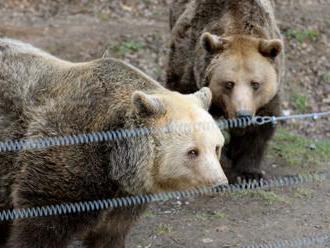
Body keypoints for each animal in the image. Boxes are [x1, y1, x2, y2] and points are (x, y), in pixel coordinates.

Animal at [0, 38, 228, 248]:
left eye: (216, 147)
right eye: (193, 151)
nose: (220, 183)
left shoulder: (126, 195)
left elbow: (110, 231)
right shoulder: (65, 159)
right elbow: (43, 223)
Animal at [166, 0, 284, 182]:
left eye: (255, 84)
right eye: (229, 83)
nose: (243, 115)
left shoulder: (268, 96)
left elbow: (258, 129)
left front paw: (249, 173)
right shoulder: (188, 69)